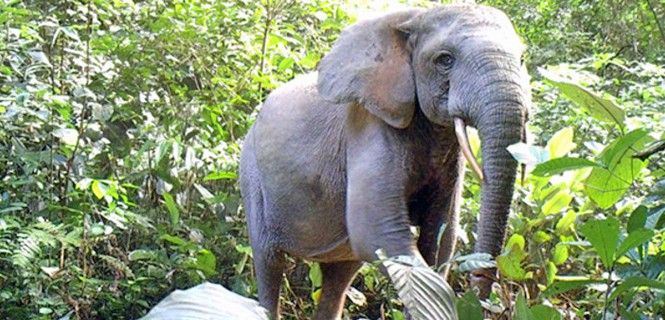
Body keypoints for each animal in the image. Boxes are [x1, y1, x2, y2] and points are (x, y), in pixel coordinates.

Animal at [239, 3, 528, 320]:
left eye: (522, 59)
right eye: (445, 60)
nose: (480, 286)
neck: (412, 18)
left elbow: (440, 237)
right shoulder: (368, 125)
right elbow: (378, 231)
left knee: (340, 275)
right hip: (251, 173)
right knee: (269, 262)